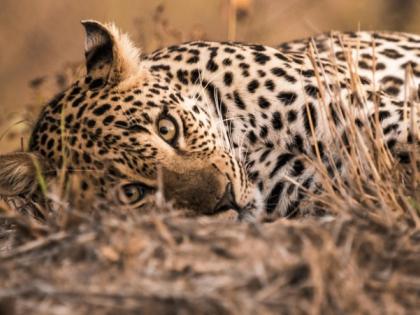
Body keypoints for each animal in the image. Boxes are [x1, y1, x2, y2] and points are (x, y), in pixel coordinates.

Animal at [0, 21, 418, 221]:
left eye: (167, 127)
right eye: (131, 194)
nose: (225, 199)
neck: (248, 138)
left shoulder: (377, 118)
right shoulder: (317, 185)